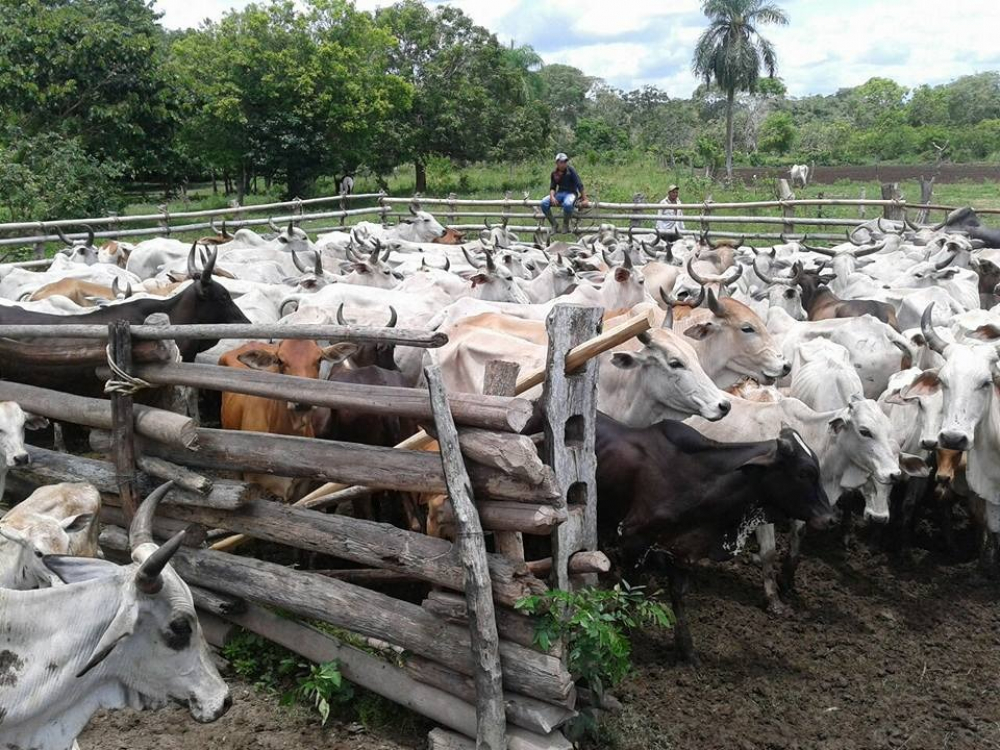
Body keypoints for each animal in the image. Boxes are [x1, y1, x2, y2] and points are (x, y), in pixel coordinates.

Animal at [592, 418, 836, 664]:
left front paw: (687, 651)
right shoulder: (633, 539)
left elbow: (678, 597)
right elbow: (630, 594)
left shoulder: (682, 550)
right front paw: (622, 637)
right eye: (804, 473)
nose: (831, 519)